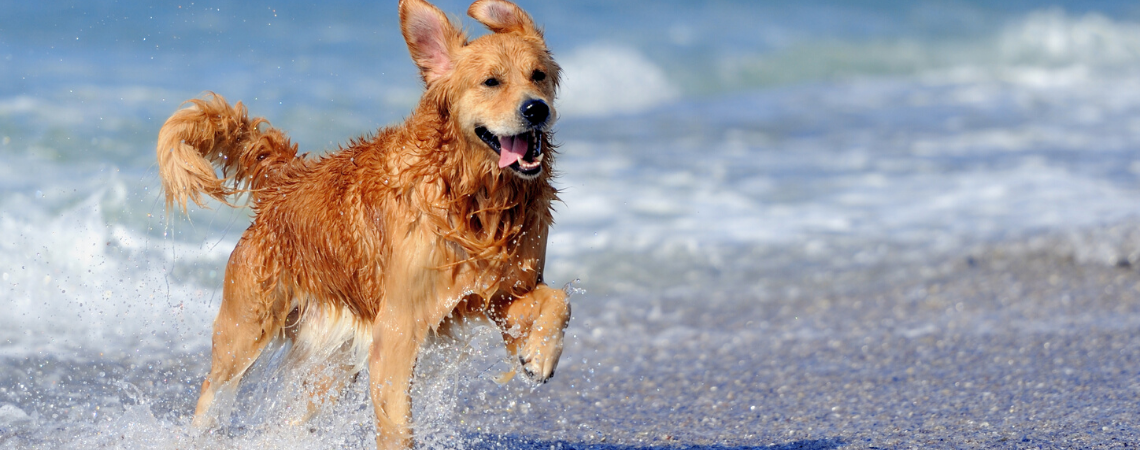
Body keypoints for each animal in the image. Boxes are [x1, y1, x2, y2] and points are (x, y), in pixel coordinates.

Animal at [153, 0, 570, 446]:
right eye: (491, 81)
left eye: (538, 75)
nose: (536, 109)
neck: (472, 195)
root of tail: (285, 181)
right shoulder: (399, 325)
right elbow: (396, 424)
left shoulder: (501, 292)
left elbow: (558, 299)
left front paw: (539, 356)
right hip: (245, 330)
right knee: (213, 392)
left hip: (333, 362)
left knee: (296, 418)